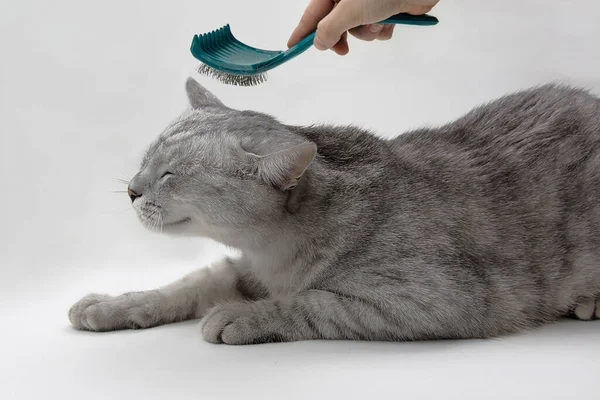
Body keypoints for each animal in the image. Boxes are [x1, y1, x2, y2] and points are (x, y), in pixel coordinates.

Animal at [68, 78, 600, 344]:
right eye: (146, 161)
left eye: (170, 175)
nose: (131, 190)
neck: (272, 255)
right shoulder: (242, 269)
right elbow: (185, 285)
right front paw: (113, 304)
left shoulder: (439, 299)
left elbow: (314, 302)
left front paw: (243, 316)